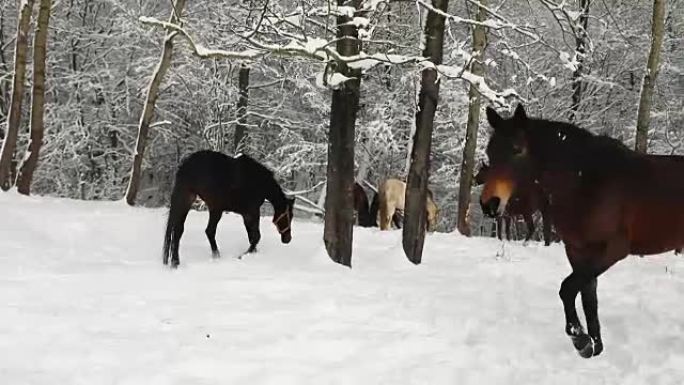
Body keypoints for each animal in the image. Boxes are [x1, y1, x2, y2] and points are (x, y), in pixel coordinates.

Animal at [166, 151, 296, 268]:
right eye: (288, 216)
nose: (288, 239)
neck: (258, 182)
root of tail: (184, 166)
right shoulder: (252, 212)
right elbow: (256, 236)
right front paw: (243, 255)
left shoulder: (246, 214)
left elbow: (251, 236)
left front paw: (252, 253)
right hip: (202, 205)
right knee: (199, 231)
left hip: (202, 205)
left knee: (185, 230)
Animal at [478, 104, 684, 356]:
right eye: (490, 152)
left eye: (517, 150)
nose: (489, 204)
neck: (585, 182)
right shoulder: (578, 251)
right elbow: (588, 297)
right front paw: (594, 343)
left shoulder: (611, 250)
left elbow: (567, 289)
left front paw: (580, 339)